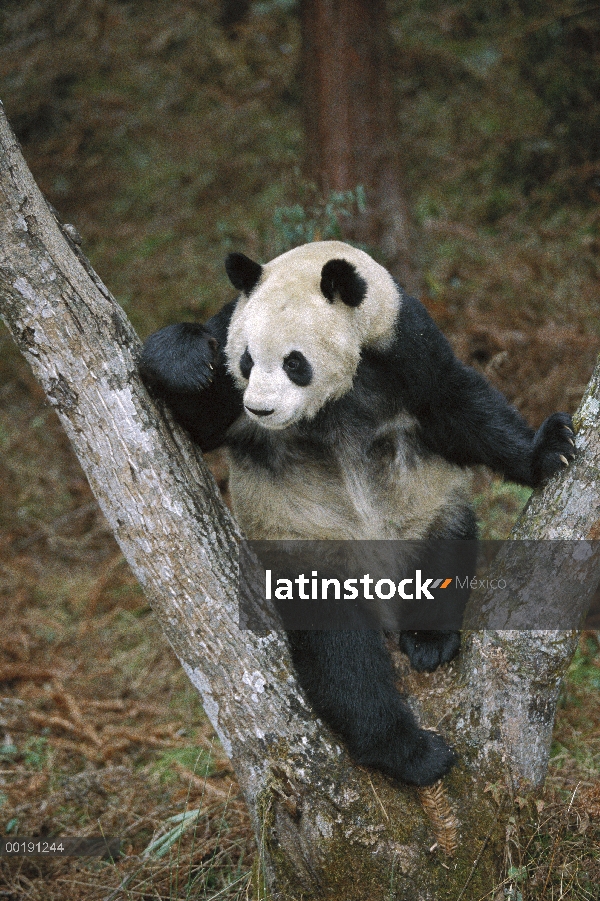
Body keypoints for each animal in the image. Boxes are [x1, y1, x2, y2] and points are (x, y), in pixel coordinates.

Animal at [138, 243, 576, 784]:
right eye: (246, 359)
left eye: (294, 362)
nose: (260, 409)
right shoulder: (230, 348)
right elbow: (198, 420)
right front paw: (181, 358)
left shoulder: (404, 345)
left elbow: (457, 406)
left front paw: (547, 450)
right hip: (314, 549)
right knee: (342, 652)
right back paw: (408, 751)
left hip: (423, 512)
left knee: (444, 548)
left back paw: (428, 641)